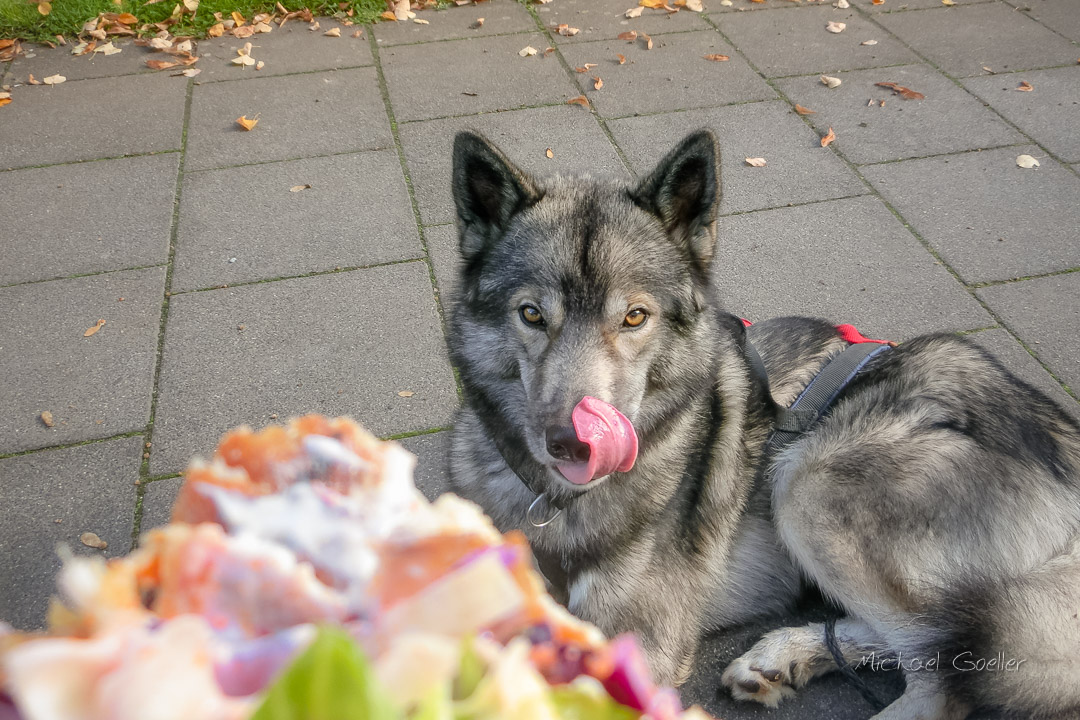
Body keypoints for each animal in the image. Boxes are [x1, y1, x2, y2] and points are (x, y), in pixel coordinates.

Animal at [440, 131, 1080, 720]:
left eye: (635, 317)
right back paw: (784, 656)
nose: (573, 443)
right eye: (531, 314)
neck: (554, 506)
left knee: (942, 676)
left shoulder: (641, 644)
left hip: (809, 480)